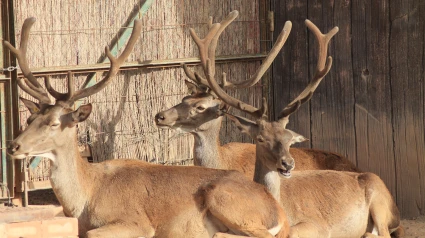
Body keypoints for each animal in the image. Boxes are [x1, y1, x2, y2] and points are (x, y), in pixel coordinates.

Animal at [4, 17, 290, 238]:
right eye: (29, 120)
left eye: (54, 123)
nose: (13, 145)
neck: (85, 199)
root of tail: (278, 210)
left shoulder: (136, 222)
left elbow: (93, 232)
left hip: (227, 200)